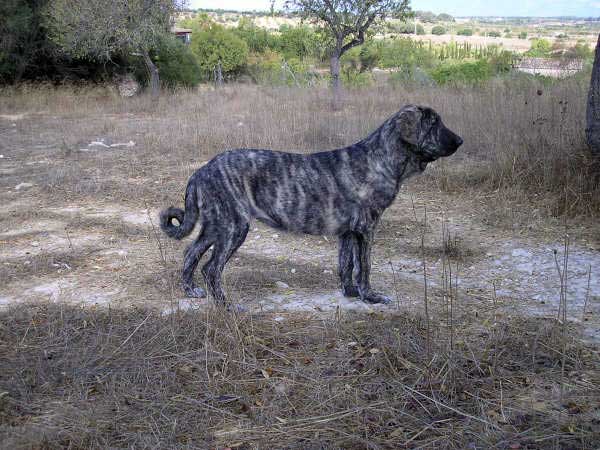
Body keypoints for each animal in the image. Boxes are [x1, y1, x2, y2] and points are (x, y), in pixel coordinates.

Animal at [161, 105, 464, 306]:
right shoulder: (366, 229)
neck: (381, 158)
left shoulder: (348, 232)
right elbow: (364, 266)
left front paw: (351, 293)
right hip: (234, 227)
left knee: (190, 253)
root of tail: (201, 171)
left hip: (216, 226)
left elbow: (346, 264)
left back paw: (191, 291)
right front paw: (371, 296)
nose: (461, 141)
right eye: (434, 123)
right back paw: (226, 306)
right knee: (211, 268)